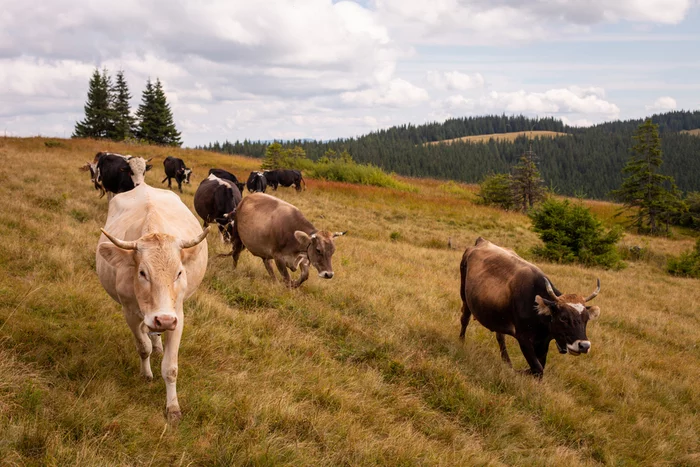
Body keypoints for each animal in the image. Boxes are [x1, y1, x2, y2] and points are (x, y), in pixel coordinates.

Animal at [97, 183, 209, 424]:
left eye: (179, 272)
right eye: (142, 273)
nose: (163, 319)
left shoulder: (177, 316)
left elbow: (170, 368)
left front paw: (173, 408)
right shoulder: (130, 312)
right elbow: (142, 347)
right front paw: (146, 373)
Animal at [460, 239, 600, 378]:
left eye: (586, 319)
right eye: (563, 318)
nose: (584, 346)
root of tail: (481, 241)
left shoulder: (543, 342)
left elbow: (538, 368)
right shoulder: (523, 338)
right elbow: (538, 368)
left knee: (500, 336)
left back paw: (507, 363)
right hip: (465, 297)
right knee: (464, 320)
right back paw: (461, 342)